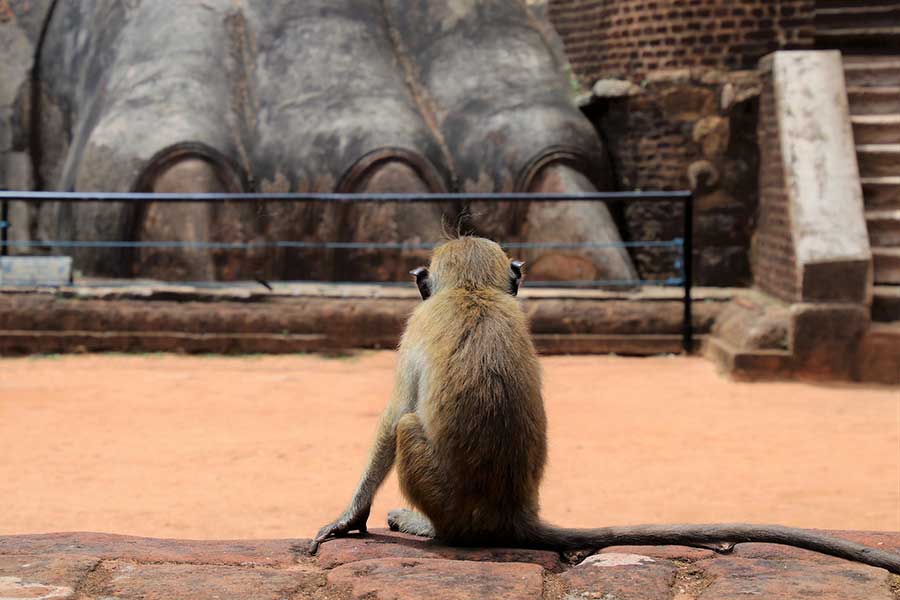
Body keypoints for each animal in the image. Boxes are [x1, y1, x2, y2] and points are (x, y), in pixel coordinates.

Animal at [312, 236, 900, 576]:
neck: (473, 291)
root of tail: (512, 513)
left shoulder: (415, 328)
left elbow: (393, 416)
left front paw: (349, 517)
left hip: (450, 503)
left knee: (408, 426)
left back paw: (429, 530)